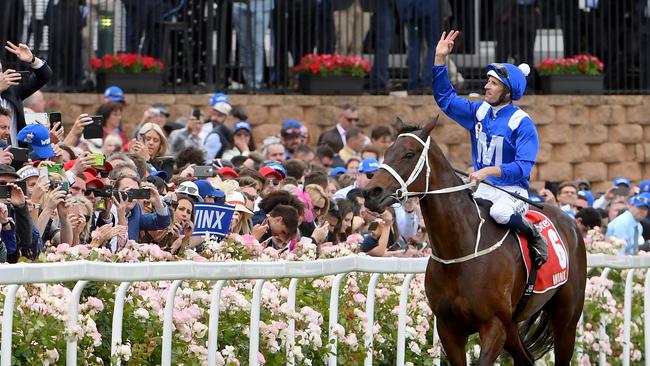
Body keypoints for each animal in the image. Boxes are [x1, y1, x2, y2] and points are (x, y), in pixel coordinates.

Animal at [362, 118, 584, 364]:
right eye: (387, 152)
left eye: (409, 154)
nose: (371, 193)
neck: (459, 251)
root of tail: (569, 220)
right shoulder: (449, 328)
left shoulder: (494, 325)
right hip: (513, 324)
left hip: (566, 319)